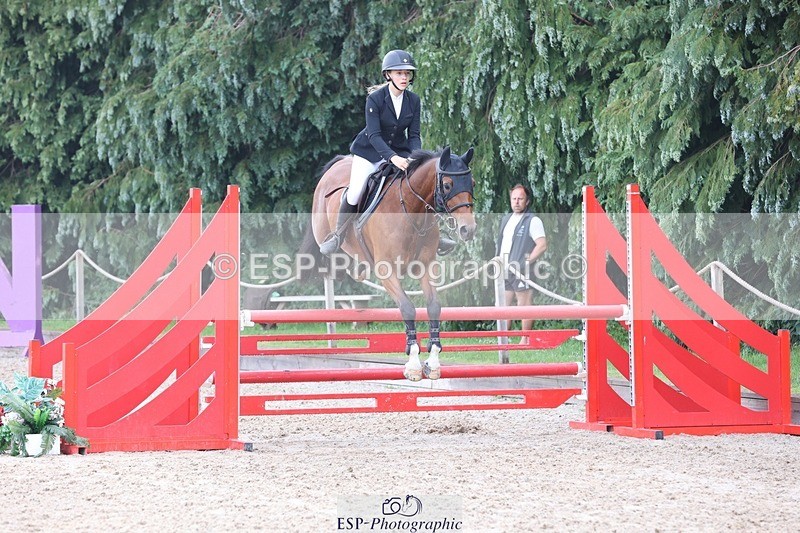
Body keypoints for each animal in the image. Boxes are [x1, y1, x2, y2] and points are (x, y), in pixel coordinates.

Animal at [307, 147, 477, 381]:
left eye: (473, 184)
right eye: (448, 185)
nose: (468, 229)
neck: (412, 211)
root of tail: (341, 161)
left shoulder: (426, 266)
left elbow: (434, 306)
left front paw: (433, 361)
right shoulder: (386, 271)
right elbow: (407, 308)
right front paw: (413, 363)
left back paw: (359, 269)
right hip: (322, 229)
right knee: (332, 240)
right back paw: (334, 247)